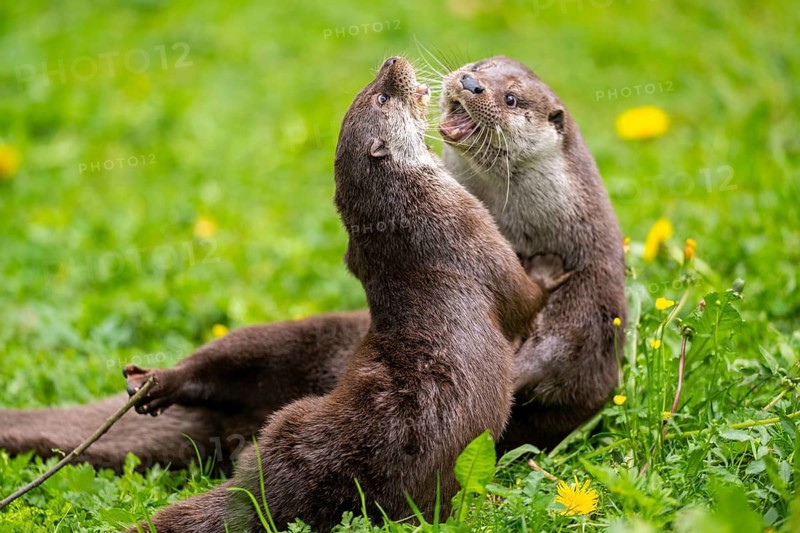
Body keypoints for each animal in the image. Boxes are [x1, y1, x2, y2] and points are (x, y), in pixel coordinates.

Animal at [0, 55, 624, 469]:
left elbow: (552, 359)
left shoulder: (588, 308)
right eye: (474, 67)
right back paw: (159, 382)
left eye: (511, 98)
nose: (468, 82)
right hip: (276, 338)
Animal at [133, 56, 558, 532]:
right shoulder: (478, 243)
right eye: (382, 96)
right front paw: (549, 267)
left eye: (370, 88)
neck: (413, 215)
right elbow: (525, 300)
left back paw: (154, 384)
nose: (391, 61)